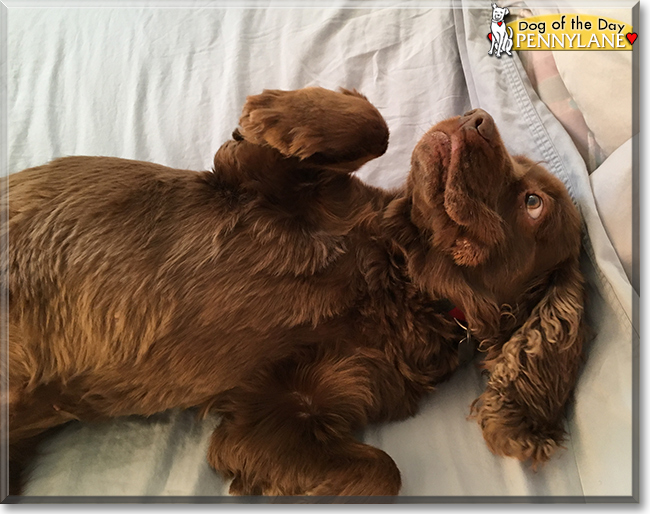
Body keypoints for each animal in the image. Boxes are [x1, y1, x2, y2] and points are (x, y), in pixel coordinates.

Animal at [3, 86, 584, 494]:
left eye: (534, 203)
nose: (478, 118)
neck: (400, 282)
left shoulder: (276, 413)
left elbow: (383, 473)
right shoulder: (253, 178)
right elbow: (374, 126)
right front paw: (269, 112)